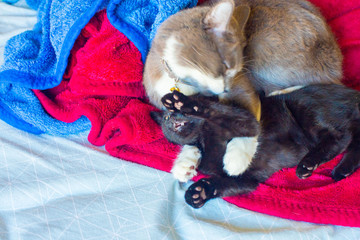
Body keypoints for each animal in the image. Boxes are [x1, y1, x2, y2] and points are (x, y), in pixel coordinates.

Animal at [150, 86, 360, 208]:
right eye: (166, 117)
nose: (174, 117)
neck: (205, 140)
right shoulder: (247, 179)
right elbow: (224, 183)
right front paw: (199, 192)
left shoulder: (248, 123)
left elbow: (215, 112)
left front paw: (182, 103)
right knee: (353, 142)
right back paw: (342, 170)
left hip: (303, 107)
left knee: (342, 137)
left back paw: (307, 165)